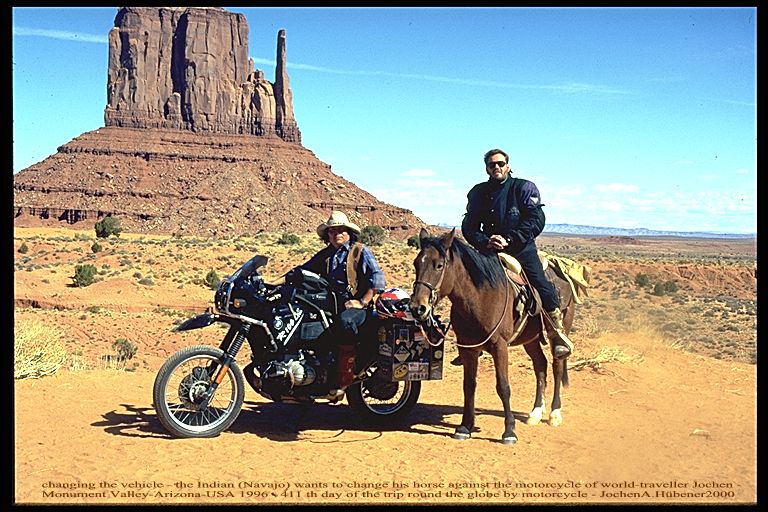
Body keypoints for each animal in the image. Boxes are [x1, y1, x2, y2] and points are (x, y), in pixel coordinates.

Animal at [409, 227, 579, 445]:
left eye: (439, 265)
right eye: (416, 263)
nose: (418, 307)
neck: (480, 297)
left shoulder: (500, 346)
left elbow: (503, 387)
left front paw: (509, 431)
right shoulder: (468, 349)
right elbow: (469, 385)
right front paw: (465, 426)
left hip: (561, 330)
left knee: (557, 365)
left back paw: (554, 414)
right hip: (530, 339)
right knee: (540, 366)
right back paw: (535, 412)